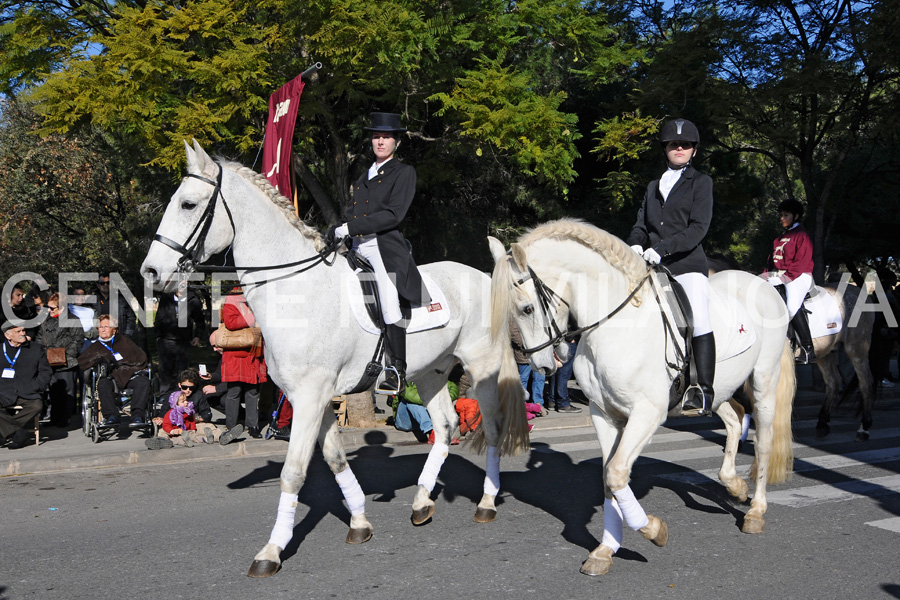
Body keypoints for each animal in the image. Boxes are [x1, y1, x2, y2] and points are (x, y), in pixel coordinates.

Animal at [141, 141, 528, 576]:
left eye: (188, 204)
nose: (150, 271)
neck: (296, 289)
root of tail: (482, 276)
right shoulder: (311, 398)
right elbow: (335, 459)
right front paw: (359, 522)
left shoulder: (311, 397)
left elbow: (293, 473)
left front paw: (271, 551)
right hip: (431, 372)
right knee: (445, 427)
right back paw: (422, 502)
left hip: (482, 367)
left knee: (491, 428)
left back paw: (486, 503)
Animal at [492, 220, 796, 576]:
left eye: (526, 308)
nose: (542, 365)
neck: (614, 325)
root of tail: (764, 285)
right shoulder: (603, 414)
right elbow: (609, 478)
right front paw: (605, 550)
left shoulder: (647, 414)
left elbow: (616, 473)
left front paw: (652, 529)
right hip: (717, 390)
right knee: (734, 421)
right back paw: (734, 485)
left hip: (764, 380)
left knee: (763, 440)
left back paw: (756, 511)